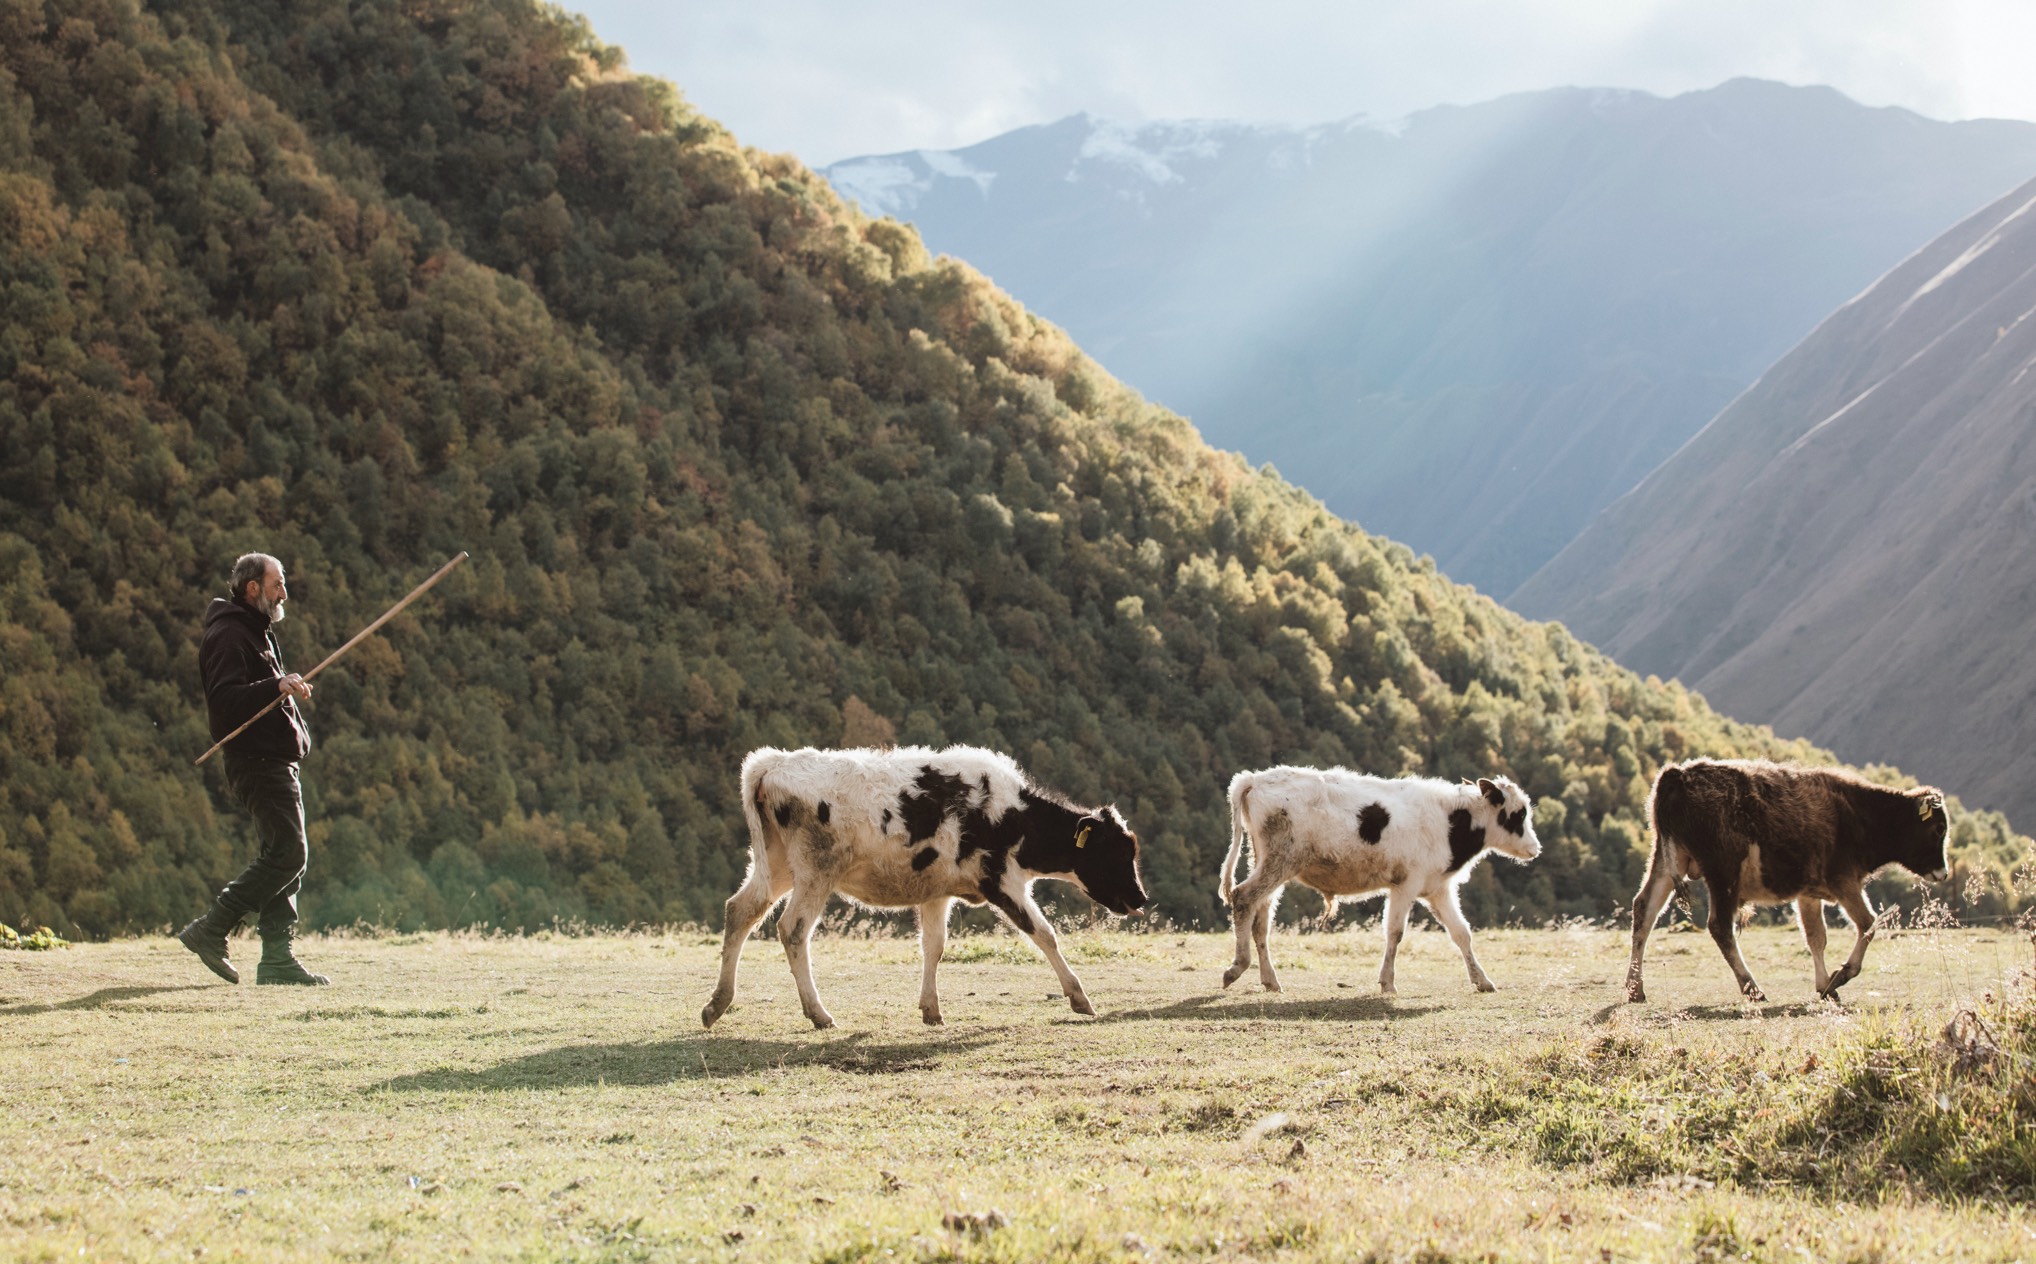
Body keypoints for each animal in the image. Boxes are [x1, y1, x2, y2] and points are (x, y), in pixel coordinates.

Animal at [701, 745, 1147, 1030]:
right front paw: (1079, 998)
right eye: (1114, 852)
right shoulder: (1001, 881)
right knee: (792, 929)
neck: (1013, 815)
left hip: (775, 867)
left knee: (740, 911)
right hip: (815, 872)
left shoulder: (937, 891)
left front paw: (931, 1010)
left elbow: (934, 946)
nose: (1140, 898)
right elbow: (1044, 934)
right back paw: (818, 1014)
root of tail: (773, 762)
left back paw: (717, 1004)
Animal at [1218, 766, 1541, 996]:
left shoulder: (1438, 889)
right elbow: (1395, 933)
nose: (1535, 848)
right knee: (1243, 897)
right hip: (1279, 863)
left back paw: (1270, 979)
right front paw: (1388, 983)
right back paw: (1237, 967)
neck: (1451, 821)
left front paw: (1482, 980)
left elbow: (1461, 932)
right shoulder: (1405, 886)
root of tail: (1254, 779)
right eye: (1518, 815)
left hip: (1268, 863)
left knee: (1261, 919)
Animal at [1626, 759, 1951, 1004]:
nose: (1944, 873)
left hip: (1666, 860)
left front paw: (1825, 986)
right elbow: (1868, 923)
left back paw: (1634, 988)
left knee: (1644, 910)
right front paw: (1842, 975)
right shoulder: (1844, 882)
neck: (1859, 814)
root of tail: (1678, 775)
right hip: (1723, 872)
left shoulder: (1809, 893)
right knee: (1719, 927)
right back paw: (1752, 988)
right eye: (1938, 829)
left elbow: (1816, 937)